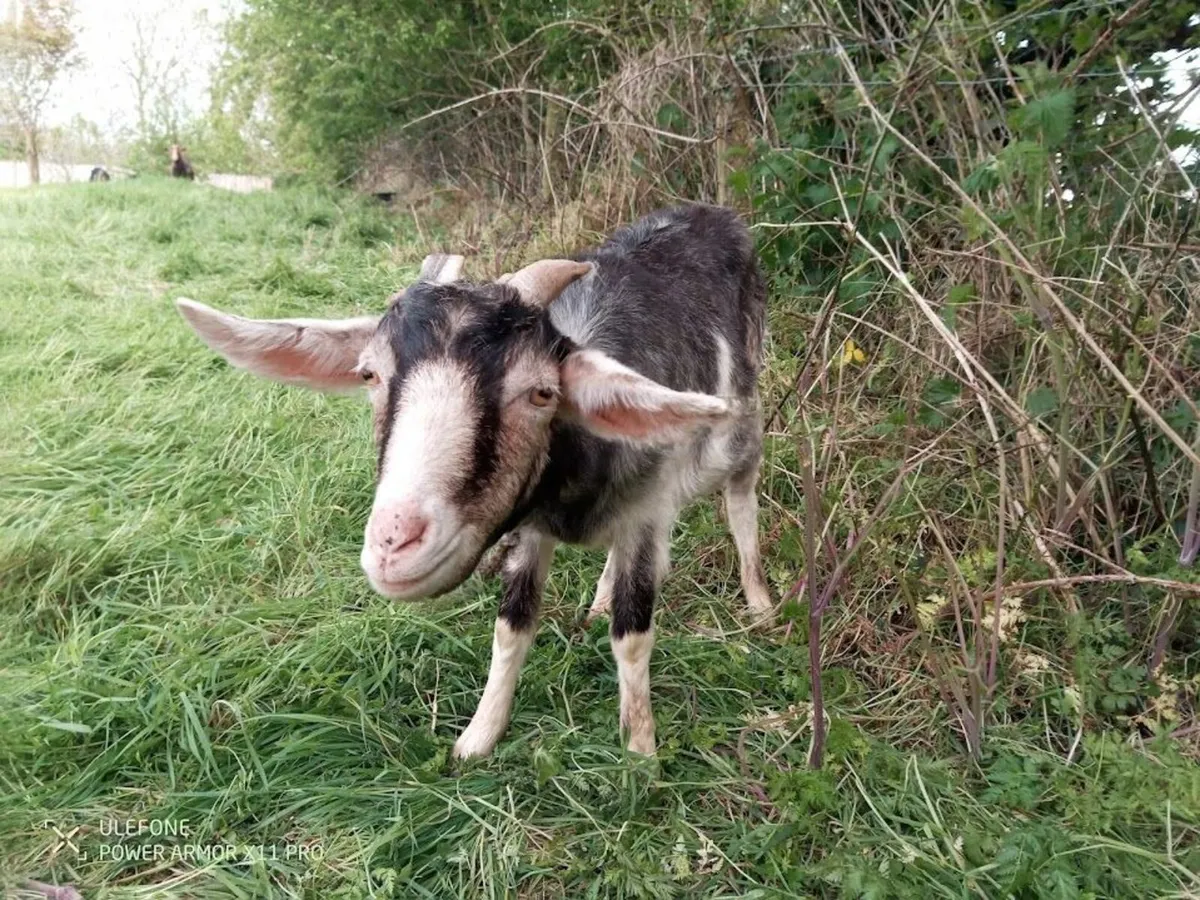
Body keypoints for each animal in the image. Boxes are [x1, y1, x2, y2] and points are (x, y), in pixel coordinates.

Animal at [175, 205, 772, 758]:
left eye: (541, 392)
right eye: (368, 374)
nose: (394, 544)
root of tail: (715, 212)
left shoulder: (648, 514)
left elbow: (632, 635)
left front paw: (641, 754)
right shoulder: (532, 528)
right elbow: (512, 625)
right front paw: (477, 738)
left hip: (743, 421)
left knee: (741, 498)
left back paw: (761, 603)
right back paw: (601, 600)